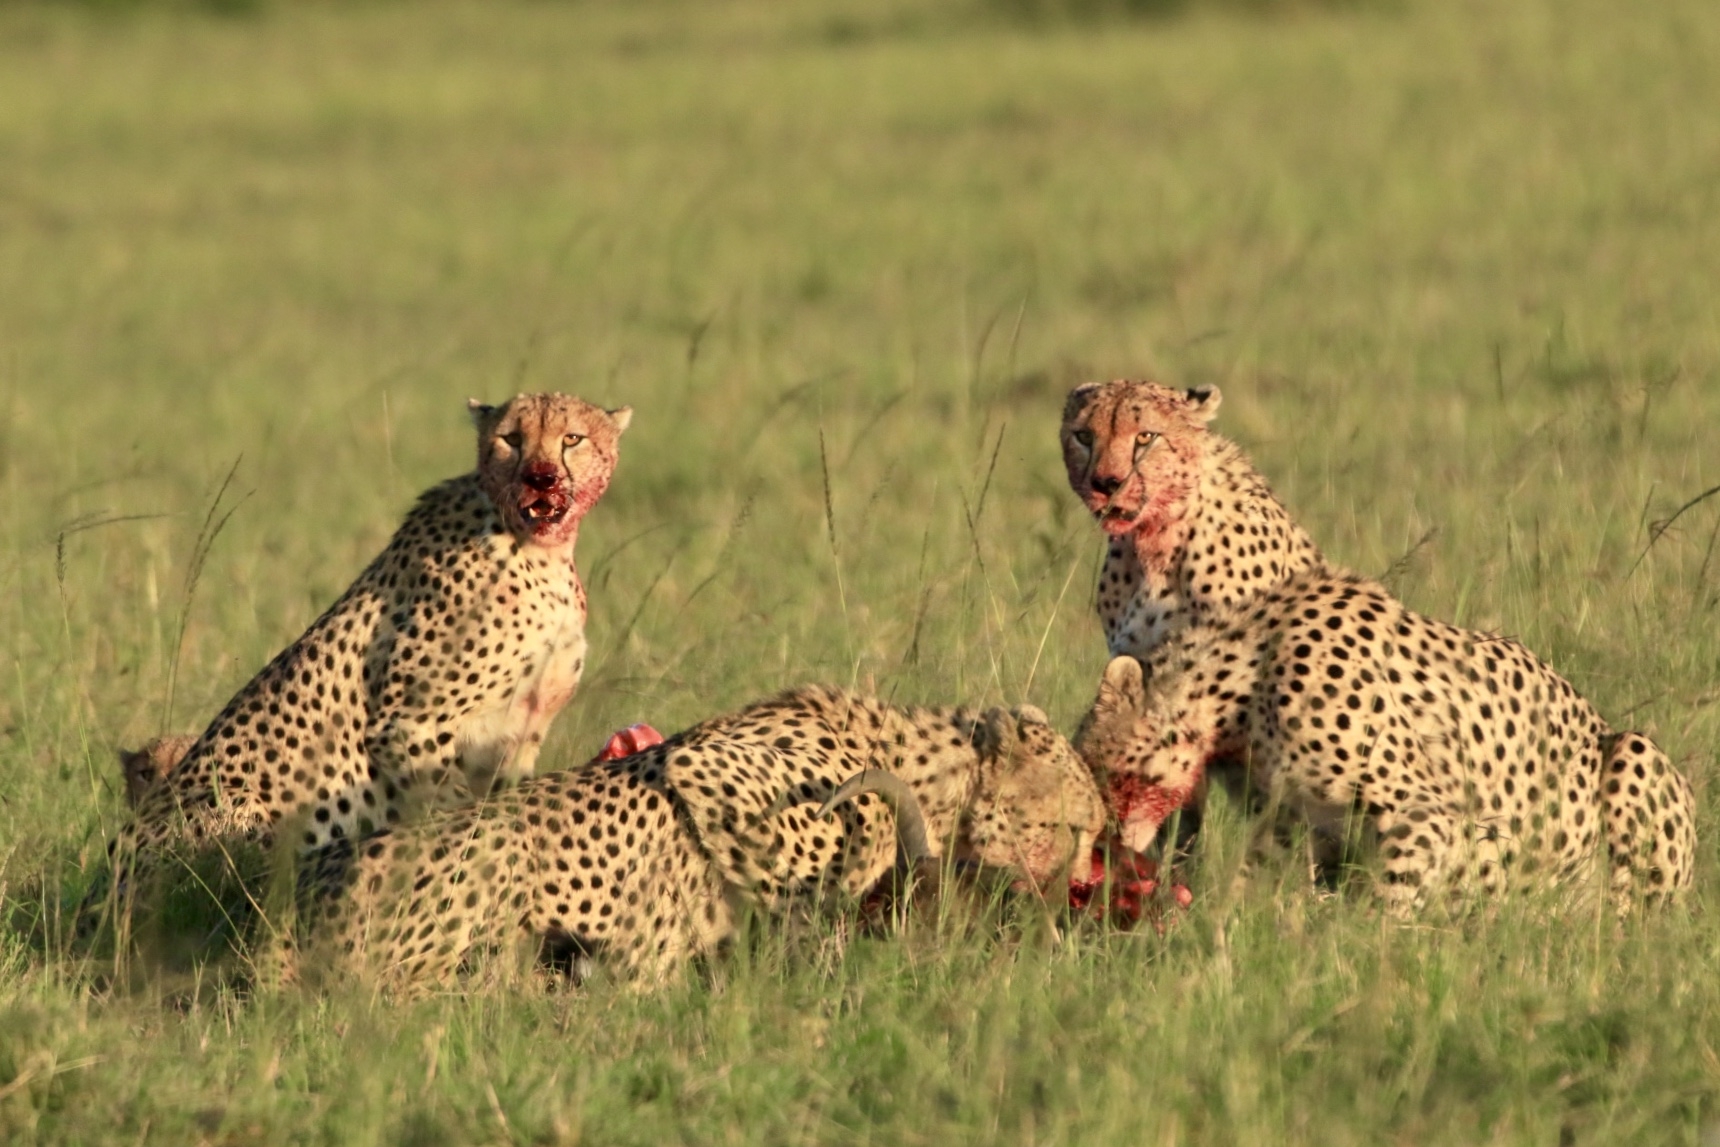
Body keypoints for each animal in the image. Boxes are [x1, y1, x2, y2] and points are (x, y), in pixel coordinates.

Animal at [1073, 570, 1692, 914]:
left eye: (1105, 774)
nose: (1103, 842)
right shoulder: (1299, 825)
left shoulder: (1425, 810)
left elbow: (1387, 902)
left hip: (1632, 756)